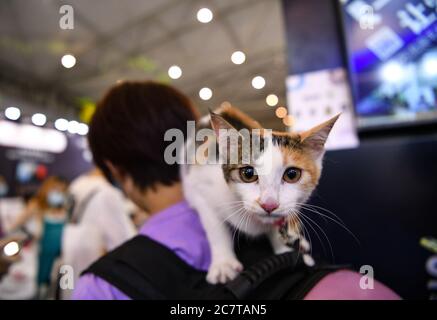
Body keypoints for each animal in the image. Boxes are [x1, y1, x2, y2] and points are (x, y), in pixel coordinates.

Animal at [181, 106, 338, 284]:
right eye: (248, 174)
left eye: (292, 175)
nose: (269, 204)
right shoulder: (201, 188)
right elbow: (215, 229)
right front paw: (223, 264)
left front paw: (284, 248)